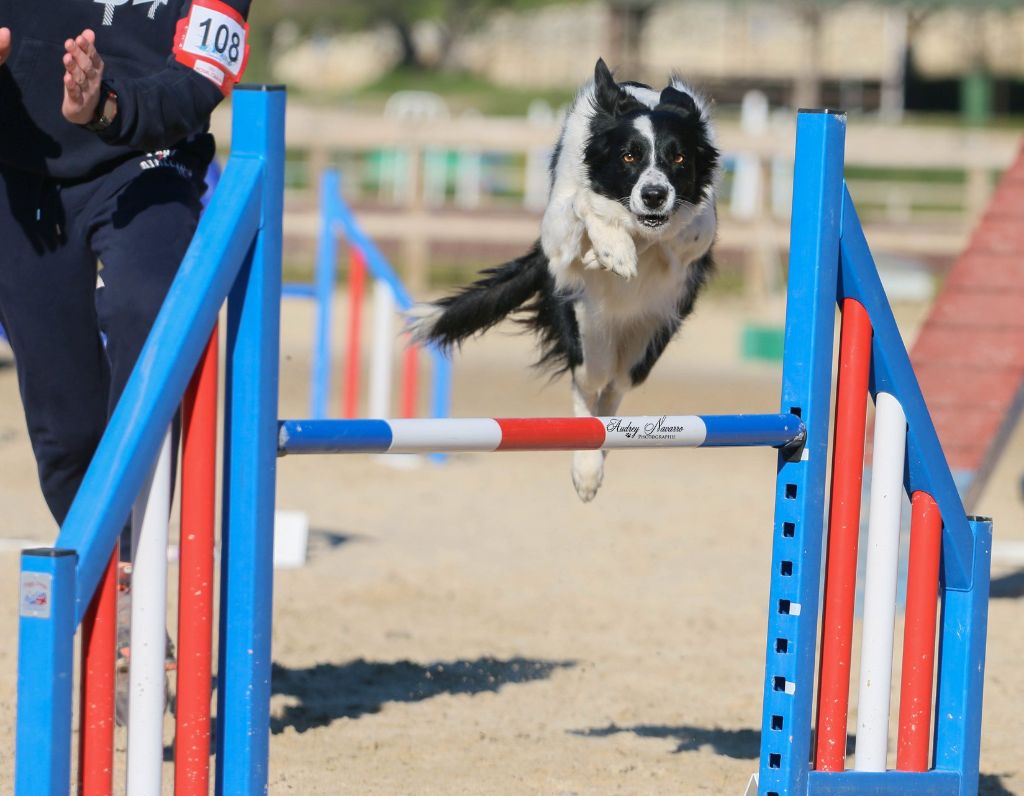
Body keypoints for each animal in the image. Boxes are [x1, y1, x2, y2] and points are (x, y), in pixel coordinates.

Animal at [409, 58, 720, 499]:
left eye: (678, 159)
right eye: (630, 156)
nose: (655, 195)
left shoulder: (697, 232)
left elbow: (678, 229)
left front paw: (624, 243)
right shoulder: (557, 234)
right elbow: (583, 203)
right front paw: (613, 248)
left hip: (643, 345)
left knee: (615, 389)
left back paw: (598, 456)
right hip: (589, 335)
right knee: (588, 385)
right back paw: (587, 467)